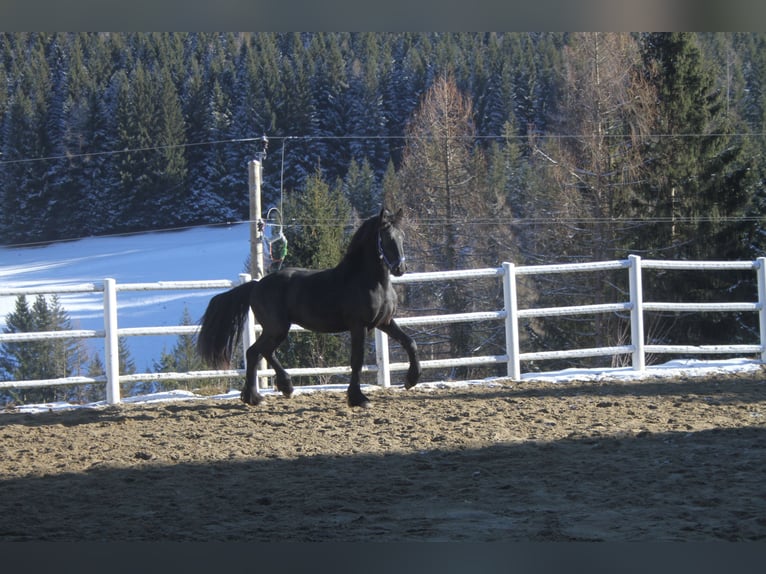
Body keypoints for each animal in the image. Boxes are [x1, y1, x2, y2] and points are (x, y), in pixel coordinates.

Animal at [195, 207, 424, 410]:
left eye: (402, 236)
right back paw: (257, 397)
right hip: (277, 328)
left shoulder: (383, 322)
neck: (370, 282)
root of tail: (256, 285)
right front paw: (358, 399)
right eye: (386, 237)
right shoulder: (358, 326)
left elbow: (410, 343)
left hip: (277, 329)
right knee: (254, 353)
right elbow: (357, 361)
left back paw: (281, 389)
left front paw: (411, 380)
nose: (400, 268)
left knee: (264, 352)